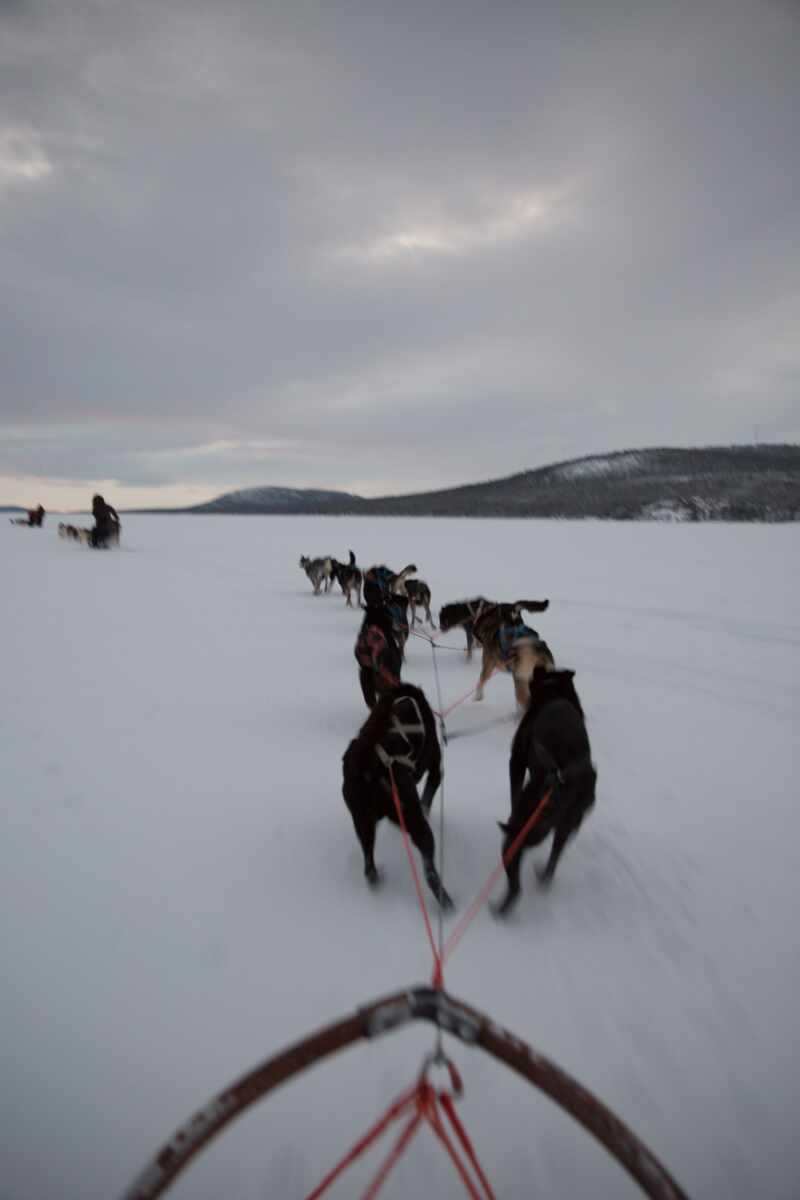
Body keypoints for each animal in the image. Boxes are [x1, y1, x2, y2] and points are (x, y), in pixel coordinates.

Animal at [343, 686, 453, 907]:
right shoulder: (435, 769)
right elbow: (429, 794)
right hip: (414, 821)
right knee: (429, 869)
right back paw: (446, 902)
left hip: (363, 821)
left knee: (368, 864)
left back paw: (375, 880)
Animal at [491, 667, 597, 916]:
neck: (554, 691)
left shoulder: (516, 761)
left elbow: (514, 790)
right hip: (567, 826)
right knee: (555, 855)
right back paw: (543, 878)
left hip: (514, 838)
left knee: (516, 888)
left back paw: (500, 911)